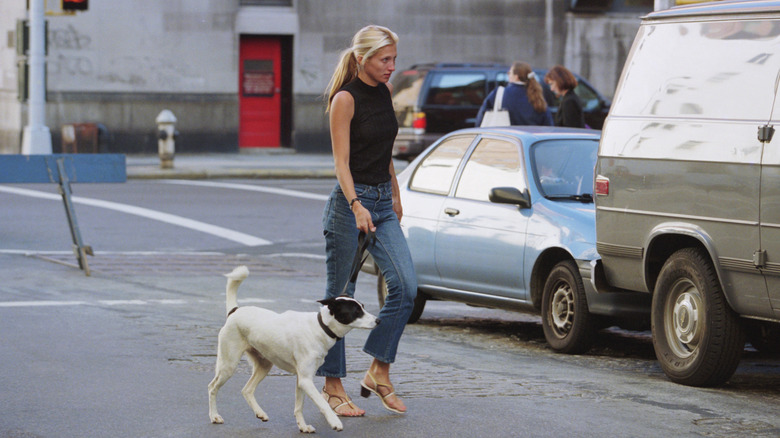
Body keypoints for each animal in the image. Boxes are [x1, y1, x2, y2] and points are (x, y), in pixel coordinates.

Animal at [206, 266, 380, 432]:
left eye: (363, 307)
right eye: (356, 311)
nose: (378, 321)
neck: (320, 327)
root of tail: (235, 311)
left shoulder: (302, 379)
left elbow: (299, 406)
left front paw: (303, 426)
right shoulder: (306, 380)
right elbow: (322, 403)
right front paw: (334, 422)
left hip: (264, 365)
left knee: (247, 390)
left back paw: (259, 412)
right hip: (228, 365)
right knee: (212, 387)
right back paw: (214, 416)